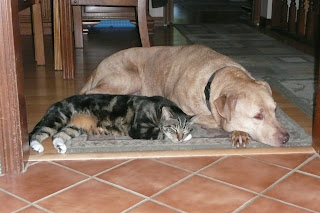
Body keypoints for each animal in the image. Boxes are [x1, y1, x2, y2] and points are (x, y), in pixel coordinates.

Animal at [30, 94, 195, 153]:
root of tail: (56, 103)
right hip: (59, 118)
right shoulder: (139, 128)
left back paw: (60, 146)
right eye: (173, 129)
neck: (157, 109)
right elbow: (161, 133)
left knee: (58, 135)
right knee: (36, 133)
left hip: (75, 127)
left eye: (185, 129)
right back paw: (37, 146)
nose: (181, 138)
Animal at [80, 45, 290, 147]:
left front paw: (240, 133)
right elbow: (217, 121)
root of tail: (97, 67)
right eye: (258, 115)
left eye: (275, 110)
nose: (286, 138)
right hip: (129, 79)